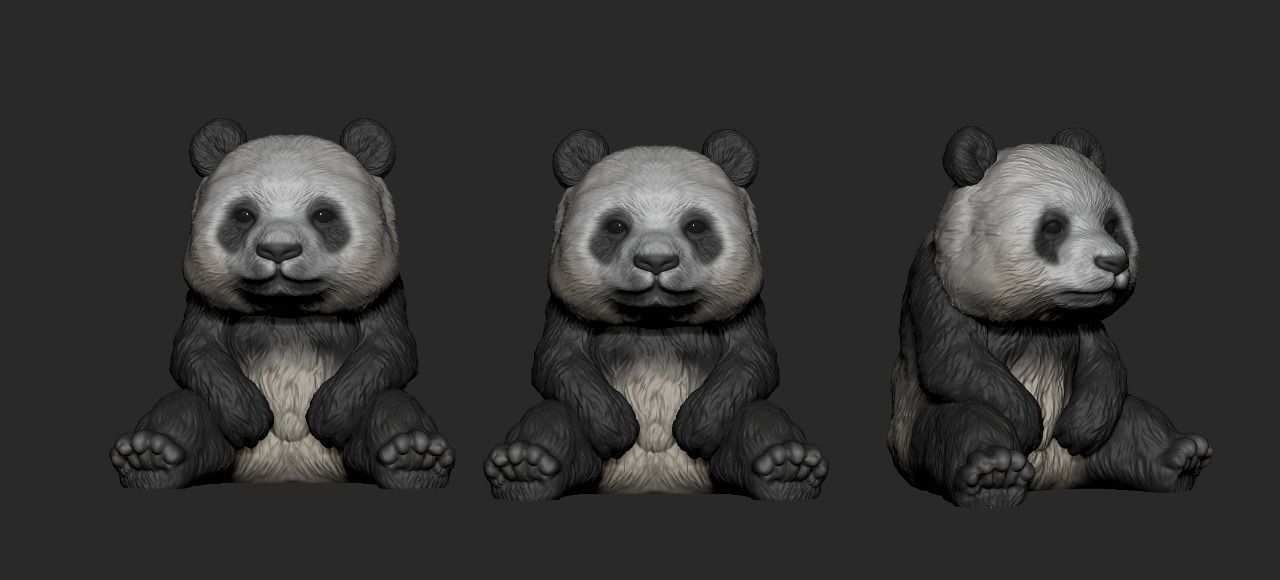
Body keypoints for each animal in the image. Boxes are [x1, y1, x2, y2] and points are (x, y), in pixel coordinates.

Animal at [108, 118, 454, 490]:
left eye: (323, 214)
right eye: (244, 214)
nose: (278, 249)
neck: (287, 309)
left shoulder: (382, 291)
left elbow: (389, 349)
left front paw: (328, 416)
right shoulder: (205, 299)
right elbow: (195, 350)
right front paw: (248, 417)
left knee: (392, 407)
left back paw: (413, 459)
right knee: (183, 407)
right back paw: (152, 458)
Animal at [483, 129, 828, 501]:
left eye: (695, 225)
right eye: (616, 225)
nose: (656, 260)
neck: (656, 321)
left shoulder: (743, 308)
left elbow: (752, 360)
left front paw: (695, 428)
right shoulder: (567, 308)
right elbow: (558, 360)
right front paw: (615, 427)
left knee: (760, 417)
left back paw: (786, 470)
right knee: (551, 417)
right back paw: (526, 470)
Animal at [887, 126, 1213, 507]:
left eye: (1112, 224)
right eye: (1053, 226)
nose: (1115, 262)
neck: (1038, 319)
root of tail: (1053, 477)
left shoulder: (1080, 317)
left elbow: (1105, 361)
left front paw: (1081, 427)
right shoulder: (936, 281)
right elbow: (952, 358)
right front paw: (1026, 421)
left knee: (1133, 421)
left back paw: (1180, 458)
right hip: (913, 429)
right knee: (962, 424)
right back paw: (993, 476)